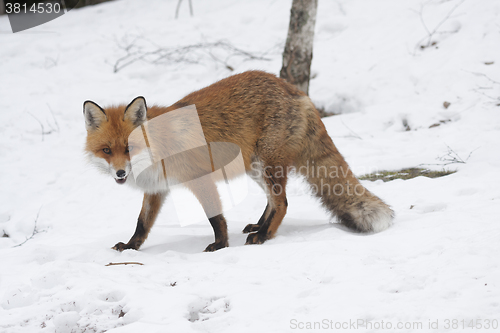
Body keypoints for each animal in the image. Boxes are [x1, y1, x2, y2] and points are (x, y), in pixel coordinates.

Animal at [84, 70, 392, 252]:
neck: (159, 144)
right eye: (107, 150)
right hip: (255, 167)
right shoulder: (157, 188)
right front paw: (131, 246)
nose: (120, 173)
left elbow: (215, 217)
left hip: (268, 164)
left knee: (283, 203)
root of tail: (295, 90)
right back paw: (259, 226)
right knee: (272, 201)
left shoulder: (200, 177)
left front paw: (220, 244)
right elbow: (142, 222)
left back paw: (264, 236)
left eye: (130, 147)